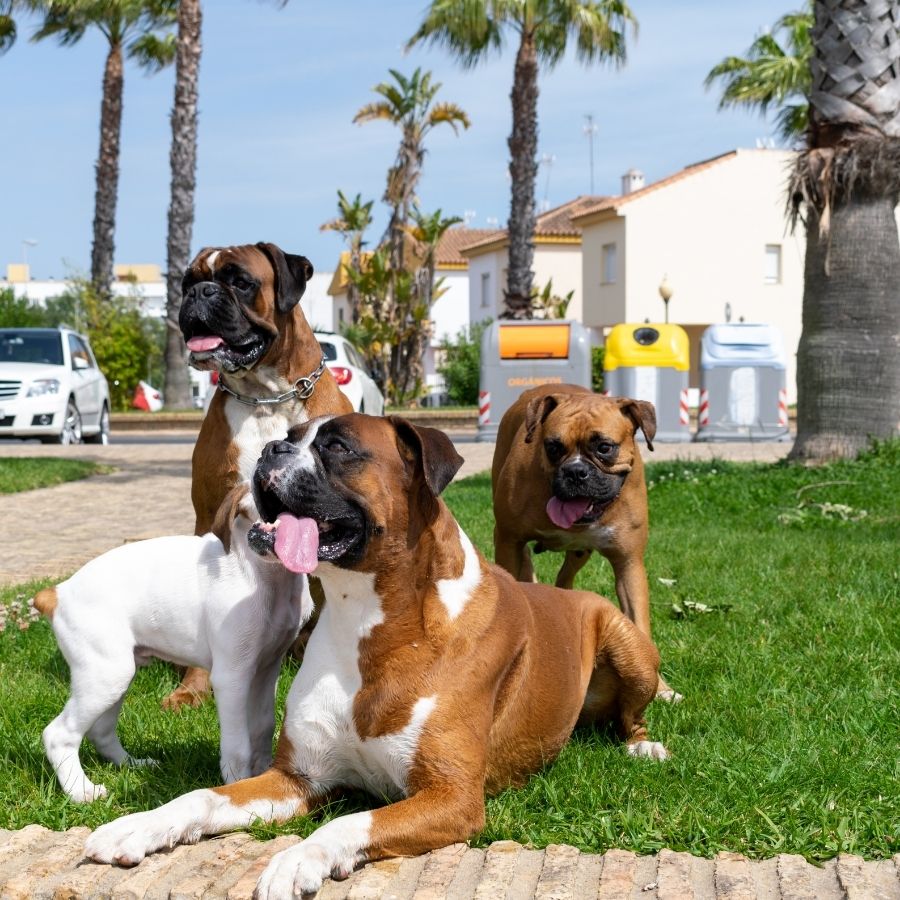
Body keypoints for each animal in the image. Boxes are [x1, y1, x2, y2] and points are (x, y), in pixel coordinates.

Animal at [36, 486, 310, 800]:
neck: (263, 575)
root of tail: (58, 592)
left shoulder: (267, 669)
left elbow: (263, 728)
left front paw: (263, 775)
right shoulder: (232, 676)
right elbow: (237, 745)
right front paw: (237, 784)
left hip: (116, 676)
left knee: (101, 731)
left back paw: (132, 765)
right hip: (105, 676)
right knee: (59, 734)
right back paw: (81, 792)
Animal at [86, 416, 668, 900]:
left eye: (338, 447)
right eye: (290, 436)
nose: (271, 448)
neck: (366, 619)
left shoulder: (450, 797)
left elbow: (352, 821)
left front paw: (296, 859)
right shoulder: (296, 780)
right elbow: (204, 797)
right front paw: (137, 825)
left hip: (628, 642)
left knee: (632, 714)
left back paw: (644, 747)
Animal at [163, 241, 354, 712]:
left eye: (240, 281)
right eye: (187, 281)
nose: (200, 293)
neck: (267, 397)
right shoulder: (209, 513)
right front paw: (193, 687)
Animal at [492, 384, 676, 700]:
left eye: (604, 447)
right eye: (553, 447)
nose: (575, 471)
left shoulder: (629, 564)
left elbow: (639, 625)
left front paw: (661, 688)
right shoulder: (507, 540)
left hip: (580, 553)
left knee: (564, 579)